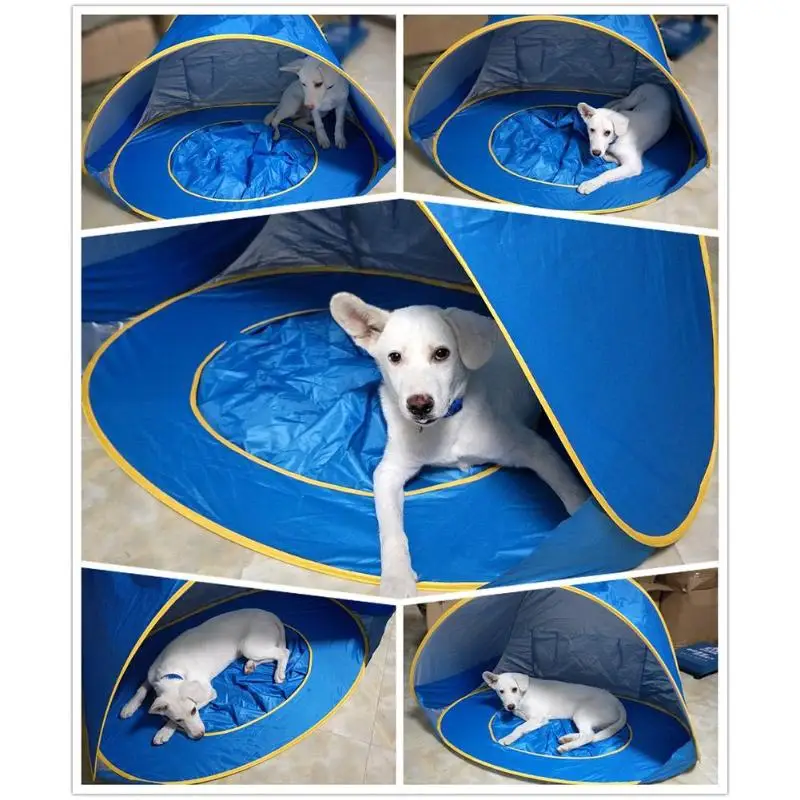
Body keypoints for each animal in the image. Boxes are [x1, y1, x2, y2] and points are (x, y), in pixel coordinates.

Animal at [119, 609, 290, 745]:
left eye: (194, 711)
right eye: (179, 719)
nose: (199, 736)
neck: (171, 670)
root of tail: (269, 614)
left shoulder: (209, 692)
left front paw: (164, 731)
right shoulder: (152, 676)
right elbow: (141, 689)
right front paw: (129, 706)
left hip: (250, 646)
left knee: (283, 652)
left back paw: (279, 673)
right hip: (250, 649)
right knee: (270, 656)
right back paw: (250, 665)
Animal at [330, 294, 590, 598]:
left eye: (441, 353)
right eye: (394, 357)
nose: (419, 405)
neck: (447, 423)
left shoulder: (534, 447)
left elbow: (571, 492)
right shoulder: (388, 472)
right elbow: (390, 528)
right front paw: (396, 579)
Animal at [482, 671, 627, 752]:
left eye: (514, 689)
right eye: (501, 691)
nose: (510, 706)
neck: (522, 697)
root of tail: (617, 702)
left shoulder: (537, 717)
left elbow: (519, 728)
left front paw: (508, 738)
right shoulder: (540, 720)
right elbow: (525, 727)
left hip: (582, 713)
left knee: (588, 736)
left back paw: (566, 747)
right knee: (590, 733)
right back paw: (567, 738)